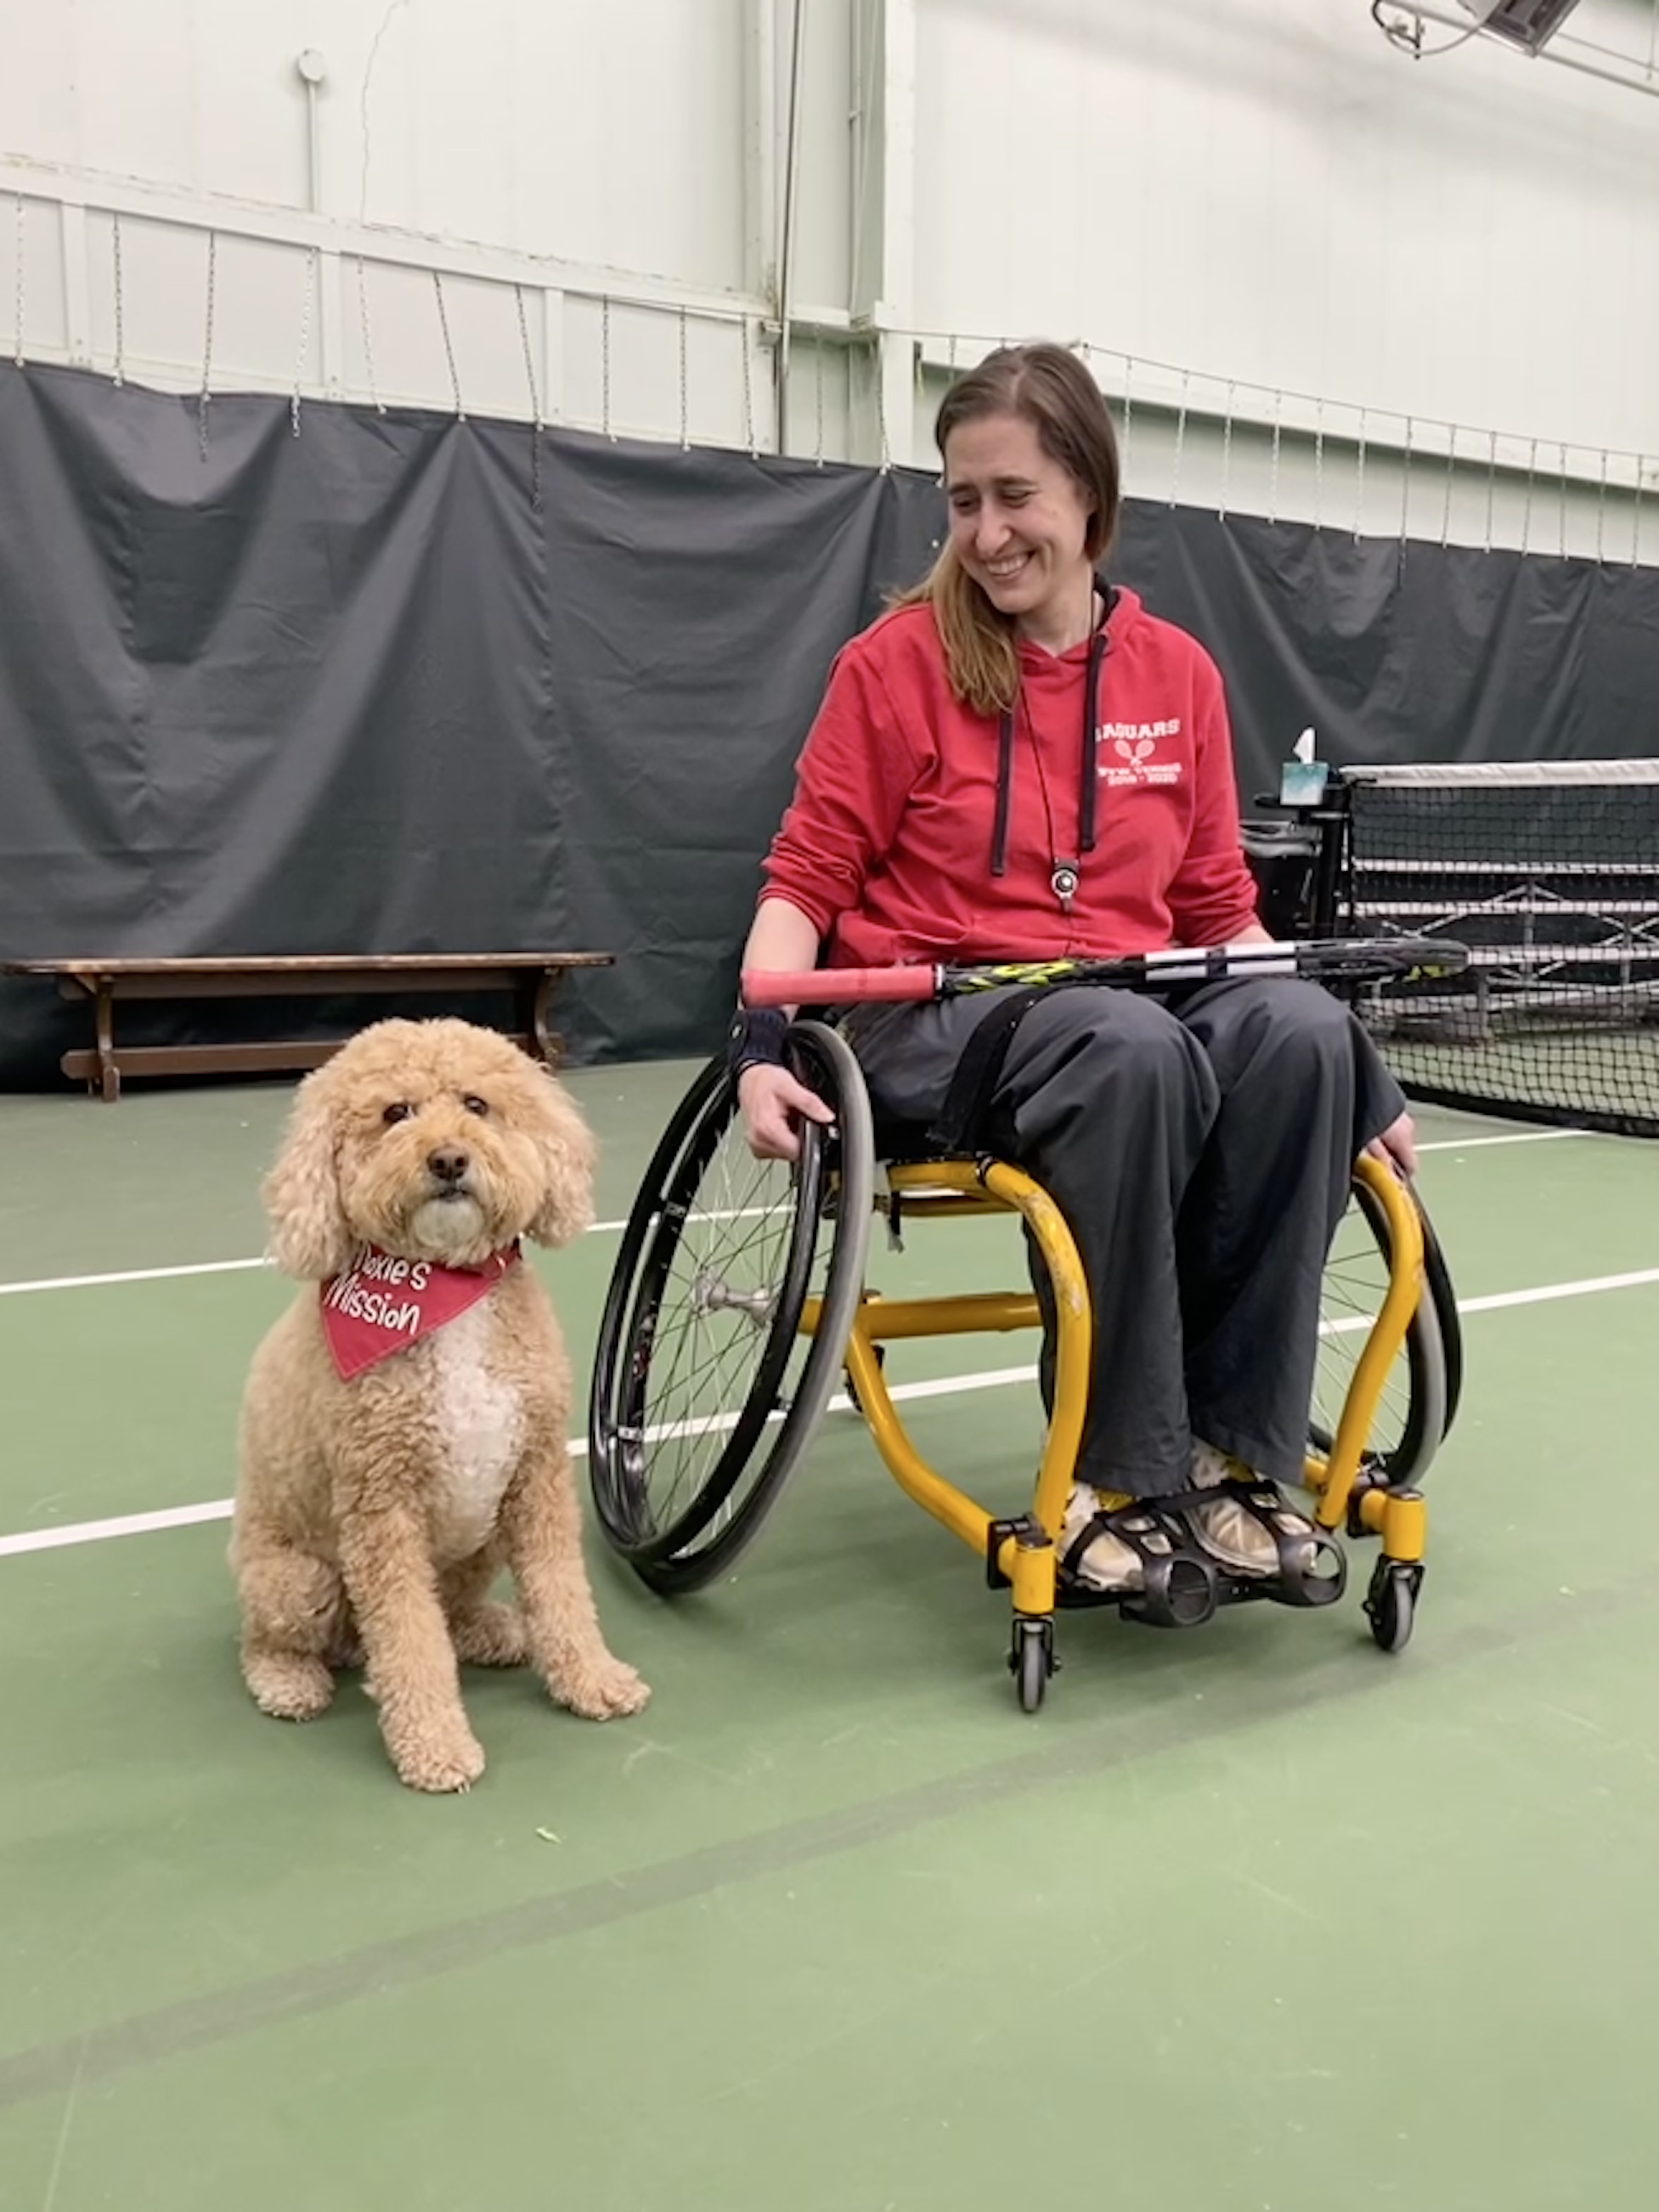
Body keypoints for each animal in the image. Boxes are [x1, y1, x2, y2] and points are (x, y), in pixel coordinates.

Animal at [234, 1017, 650, 1796]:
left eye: (477, 1104)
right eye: (396, 1113)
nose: (450, 1159)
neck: (443, 1289)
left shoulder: (537, 1479)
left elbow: (563, 1594)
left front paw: (593, 1680)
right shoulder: (382, 1510)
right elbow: (410, 1642)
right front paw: (434, 1745)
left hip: (480, 1539)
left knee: (449, 1613)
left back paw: (490, 1630)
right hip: (297, 1580)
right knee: (272, 1640)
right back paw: (289, 1681)